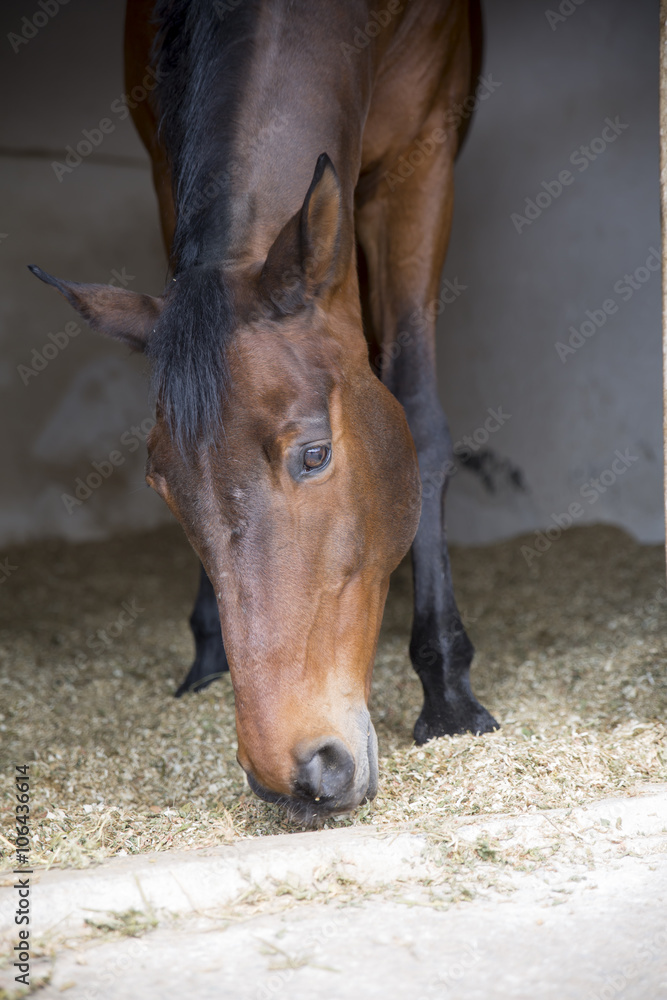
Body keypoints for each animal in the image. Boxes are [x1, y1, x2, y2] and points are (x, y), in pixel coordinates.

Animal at [30, 0, 497, 821]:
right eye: (161, 487)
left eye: (314, 454)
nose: (300, 776)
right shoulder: (165, 161)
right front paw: (207, 652)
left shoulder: (422, 157)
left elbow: (419, 412)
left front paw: (448, 693)